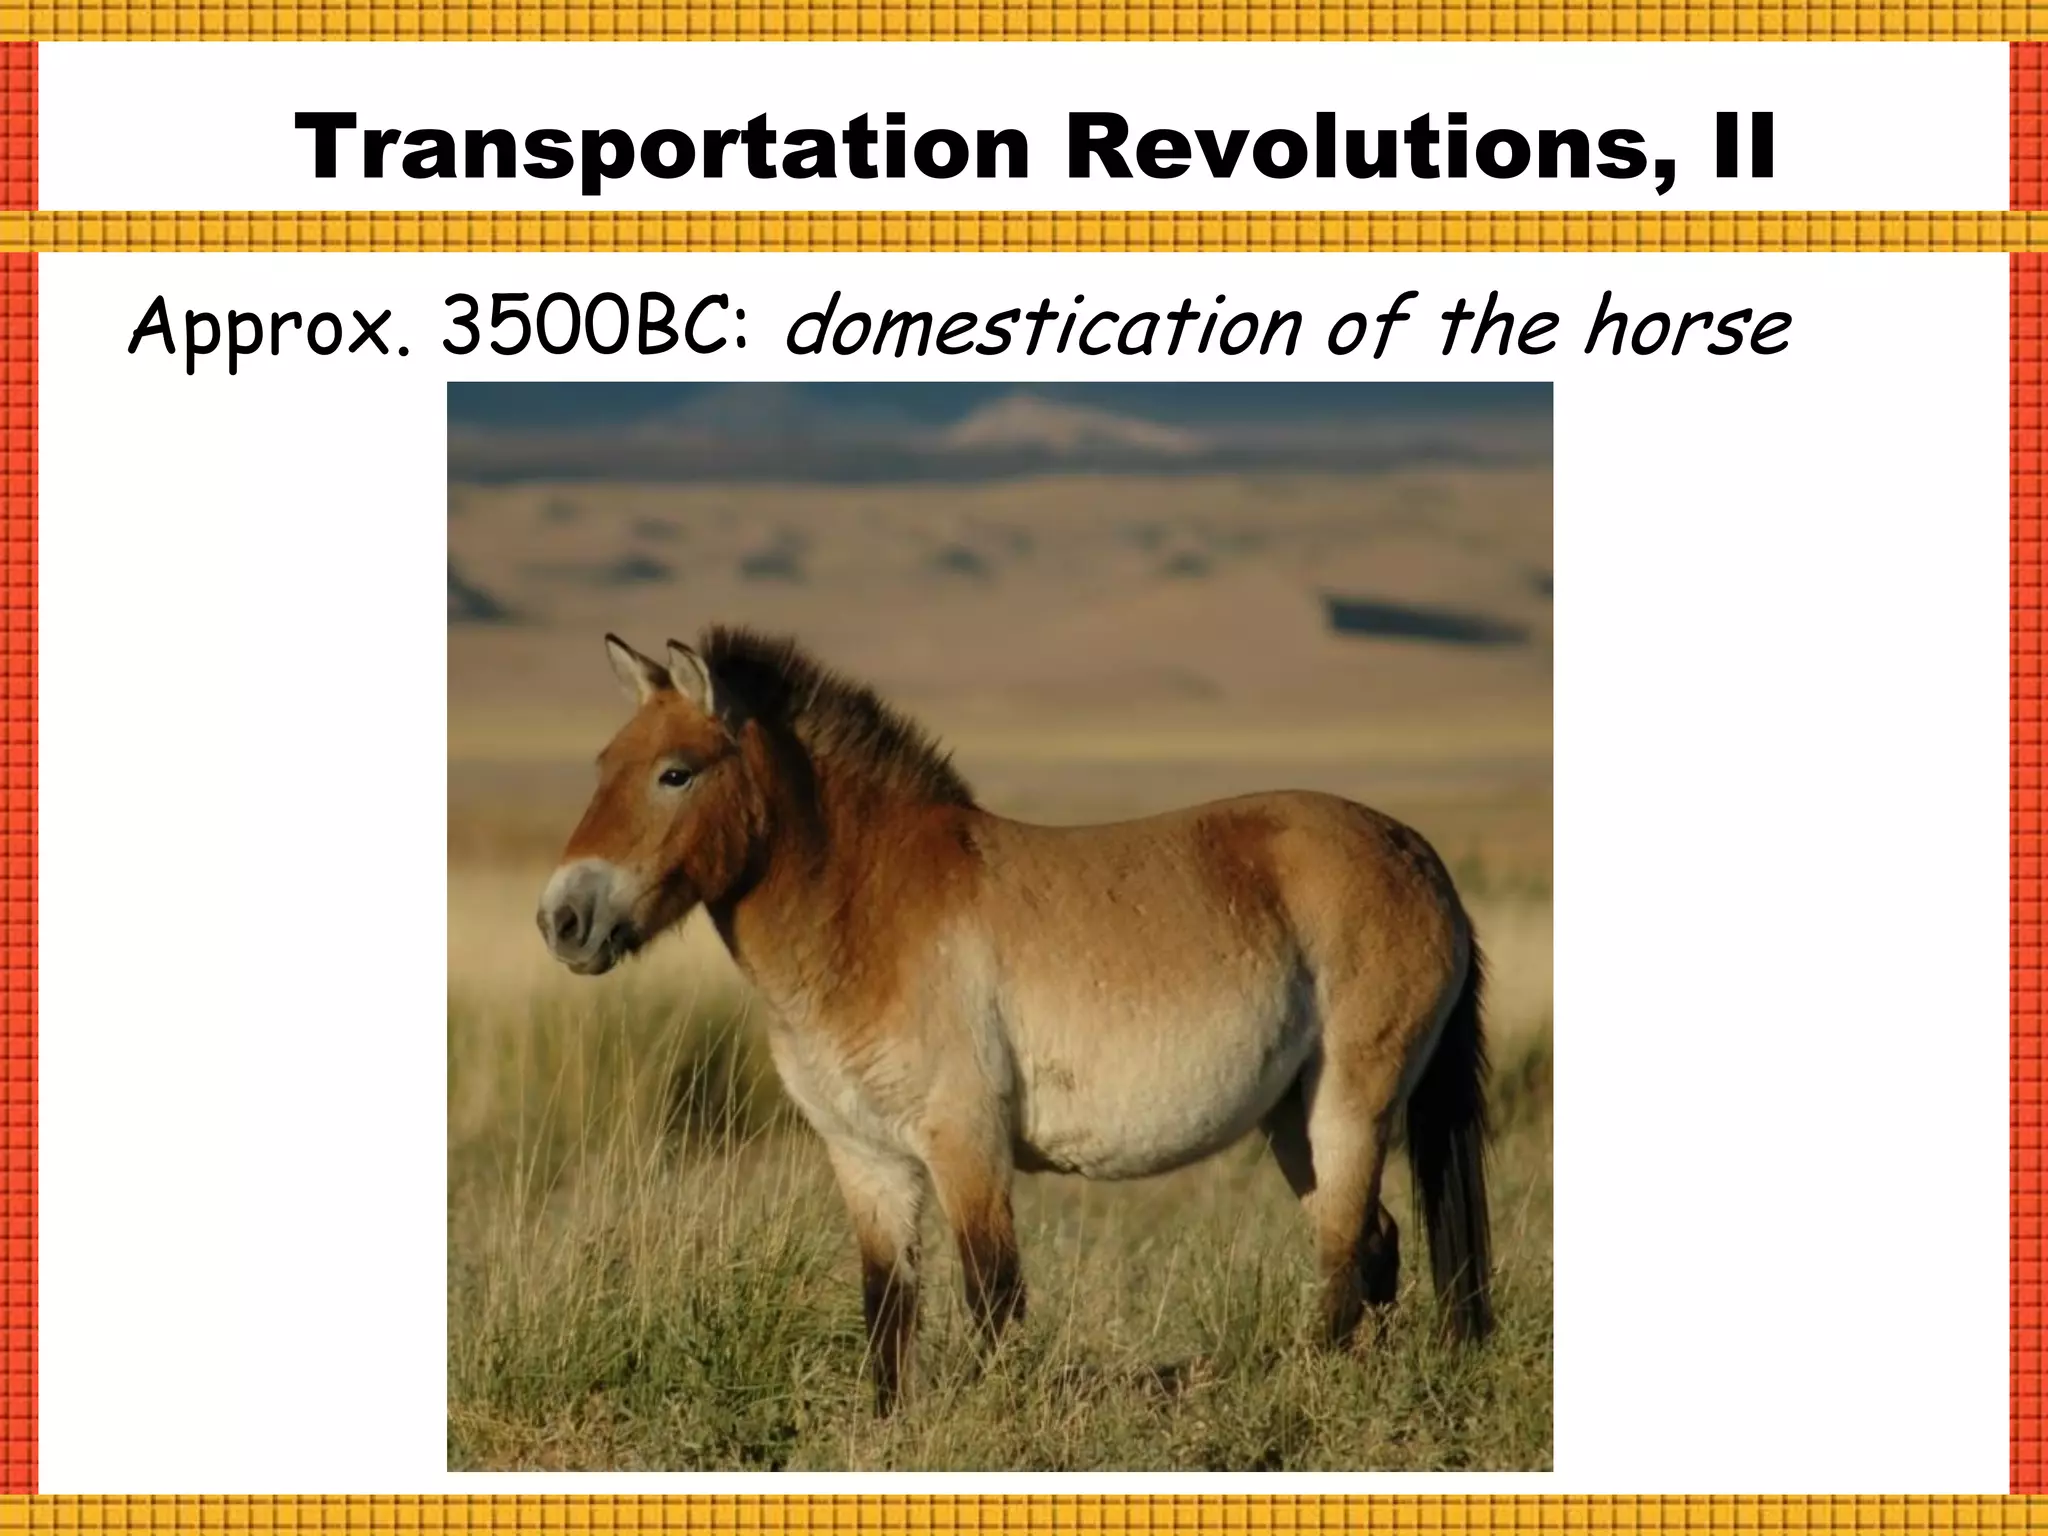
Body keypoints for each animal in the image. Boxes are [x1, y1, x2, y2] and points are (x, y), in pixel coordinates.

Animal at [537, 627, 1494, 1412]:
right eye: (601, 765)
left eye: (675, 773)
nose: (562, 920)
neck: (869, 911)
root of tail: (1418, 856)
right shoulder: (865, 1157)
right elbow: (887, 1310)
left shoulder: (966, 1143)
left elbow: (993, 1298)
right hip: (1292, 1119)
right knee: (1373, 1244)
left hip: (1349, 1106)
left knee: (1346, 1257)